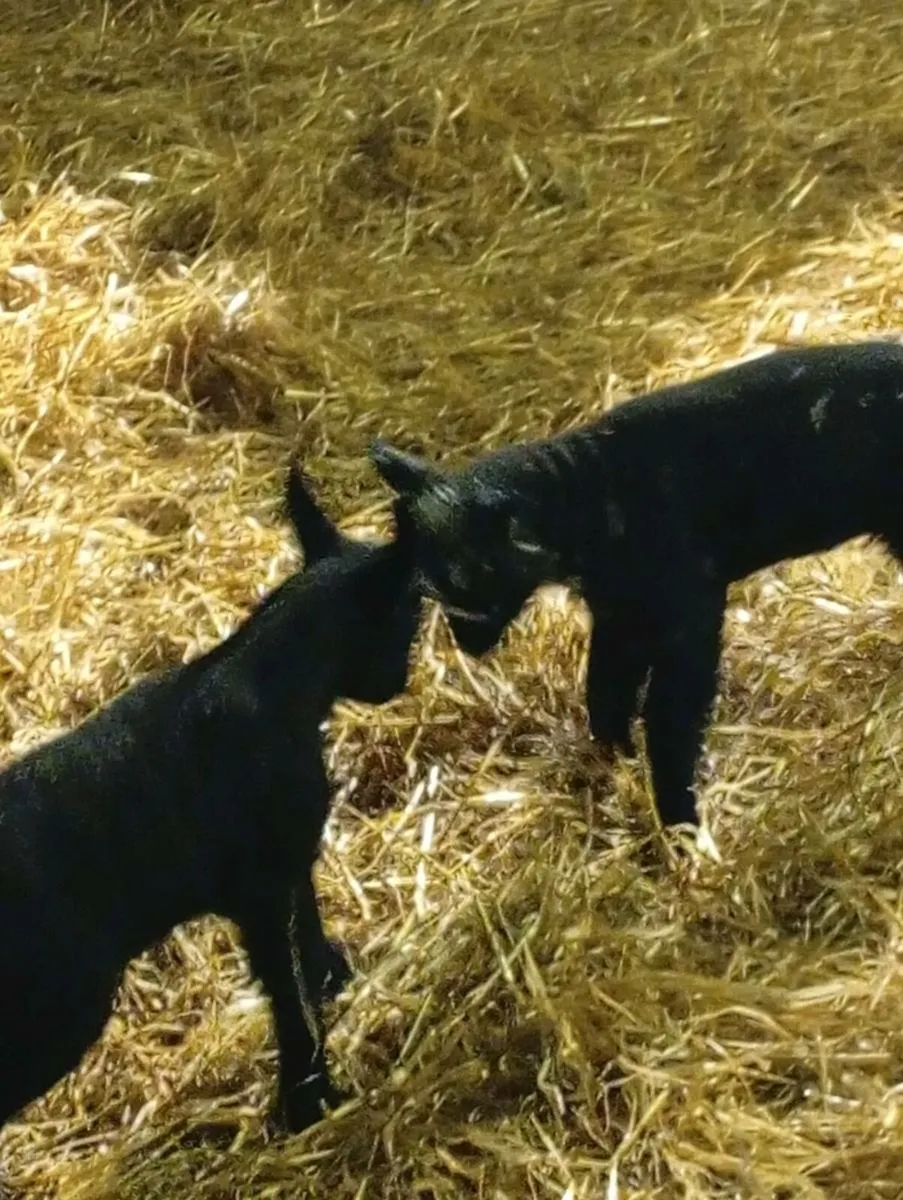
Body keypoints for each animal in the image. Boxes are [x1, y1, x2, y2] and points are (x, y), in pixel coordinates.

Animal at [0, 463, 421, 1135]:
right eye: (413, 614)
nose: (398, 682)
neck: (274, 678)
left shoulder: (284, 867)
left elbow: (307, 934)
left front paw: (333, 977)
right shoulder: (260, 891)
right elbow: (288, 992)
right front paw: (309, 1099)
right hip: (58, 1009)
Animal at [369, 339, 903, 828]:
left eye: (470, 577)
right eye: (428, 588)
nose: (466, 643)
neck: (586, 500)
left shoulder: (689, 608)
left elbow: (670, 714)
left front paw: (679, 819)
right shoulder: (619, 612)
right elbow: (605, 688)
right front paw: (611, 761)